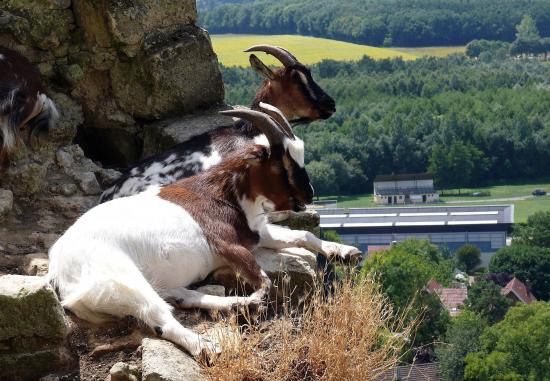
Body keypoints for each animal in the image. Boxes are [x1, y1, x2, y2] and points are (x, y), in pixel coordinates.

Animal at [48, 107, 320, 356]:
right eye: (281, 164)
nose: (309, 194)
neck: (222, 194)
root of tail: (60, 268)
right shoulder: (228, 244)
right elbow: (266, 282)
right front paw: (260, 302)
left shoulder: (257, 233)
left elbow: (302, 235)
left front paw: (334, 251)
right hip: (123, 281)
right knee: (161, 318)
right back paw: (207, 346)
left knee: (182, 297)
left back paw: (235, 303)